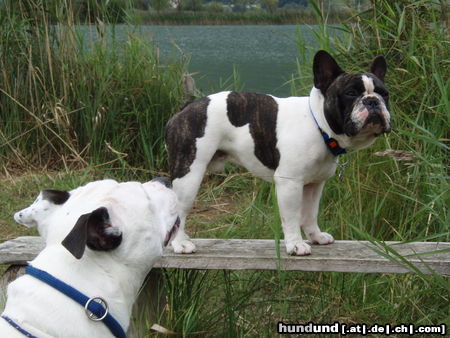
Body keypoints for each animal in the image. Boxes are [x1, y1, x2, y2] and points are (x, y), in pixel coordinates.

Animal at [165, 50, 390, 255]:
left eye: (385, 94)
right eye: (351, 93)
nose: (372, 101)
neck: (318, 125)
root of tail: (186, 108)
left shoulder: (314, 184)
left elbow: (310, 213)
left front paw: (315, 236)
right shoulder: (289, 183)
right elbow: (291, 217)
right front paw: (296, 245)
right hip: (189, 174)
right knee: (179, 210)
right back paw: (180, 243)